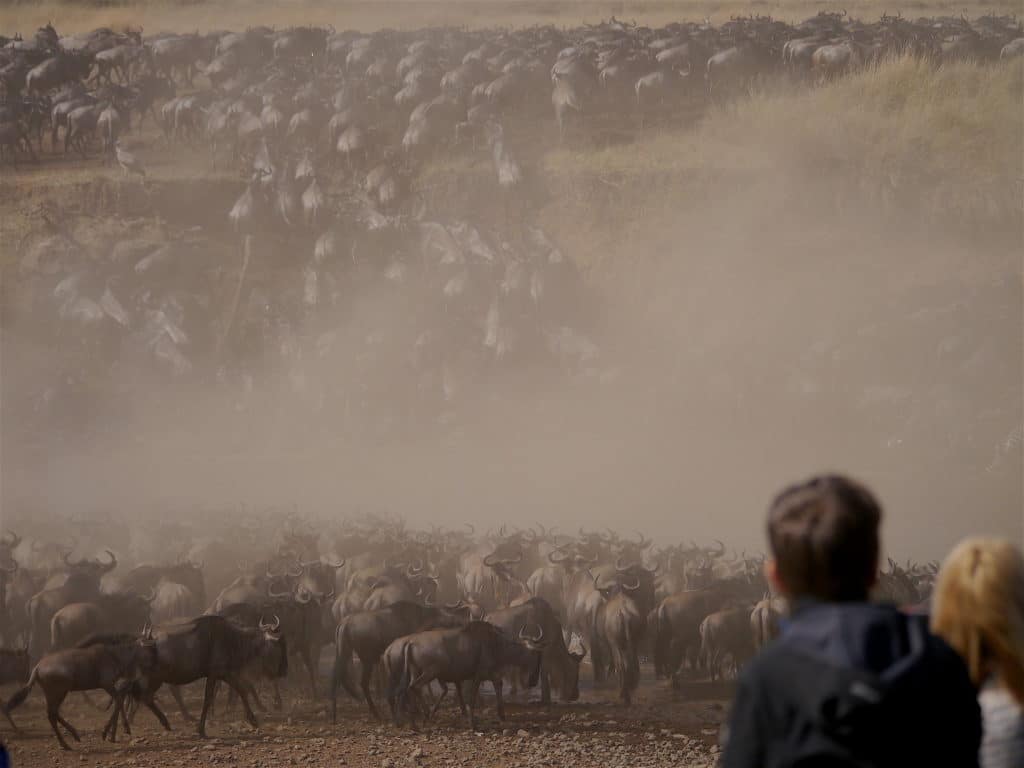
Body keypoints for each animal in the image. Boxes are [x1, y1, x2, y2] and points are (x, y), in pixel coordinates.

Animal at [5, 638, 155, 753]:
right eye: (146, 650)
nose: (152, 664)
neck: (113, 655)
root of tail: (37, 668)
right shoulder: (107, 685)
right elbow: (118, 700)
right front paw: (107, 732)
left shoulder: (112, 686)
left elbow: (119, 701)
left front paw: (119, 731)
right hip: (58, 693)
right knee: (52, 714)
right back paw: (67, 742)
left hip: (56, 694)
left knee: (53, 713)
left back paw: (72, 737)